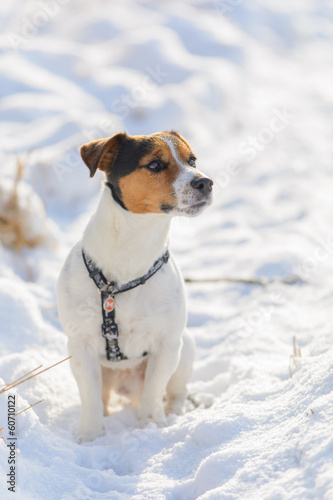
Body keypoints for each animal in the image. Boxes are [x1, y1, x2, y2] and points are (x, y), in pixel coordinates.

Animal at [56, 131, 213, 444]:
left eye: (192, 160)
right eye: (154, 164)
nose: (206, 182)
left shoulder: (166, 345)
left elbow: (154, 392)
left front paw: (152, 427)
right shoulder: (80, 346)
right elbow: (90, 396)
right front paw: (89, 436)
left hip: (185, 346)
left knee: (175, 392)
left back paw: (174, 414)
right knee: (103, 398)